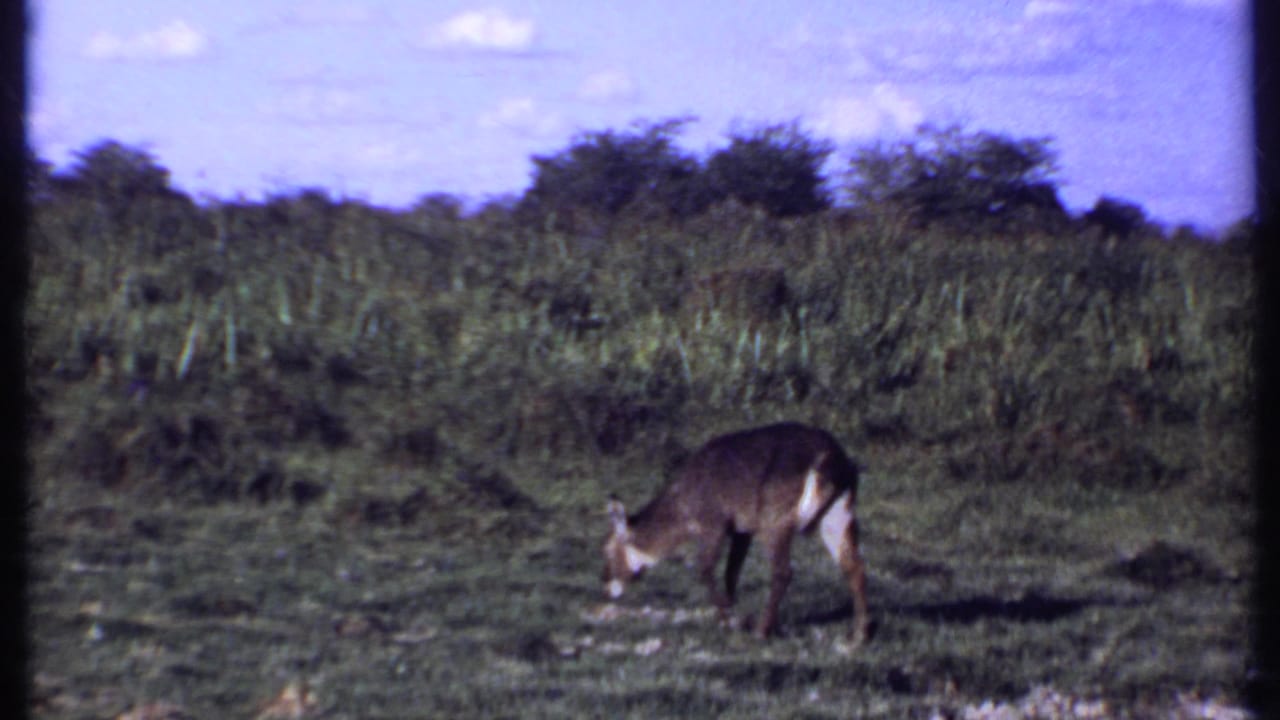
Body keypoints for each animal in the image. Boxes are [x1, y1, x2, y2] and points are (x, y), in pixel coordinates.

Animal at [601, 422, 869, 645]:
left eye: (606, 549)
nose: (605, 583)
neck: (683, 505)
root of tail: (832, 459)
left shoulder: (714, 524)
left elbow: (704, 569)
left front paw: (726, 618)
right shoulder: (742, 531)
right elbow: (731, 572)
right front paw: (731, 610)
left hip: (775, 522)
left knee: (783, 572)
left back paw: (762, 630)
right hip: (837, 515)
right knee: (854, 567)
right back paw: (859, 635)